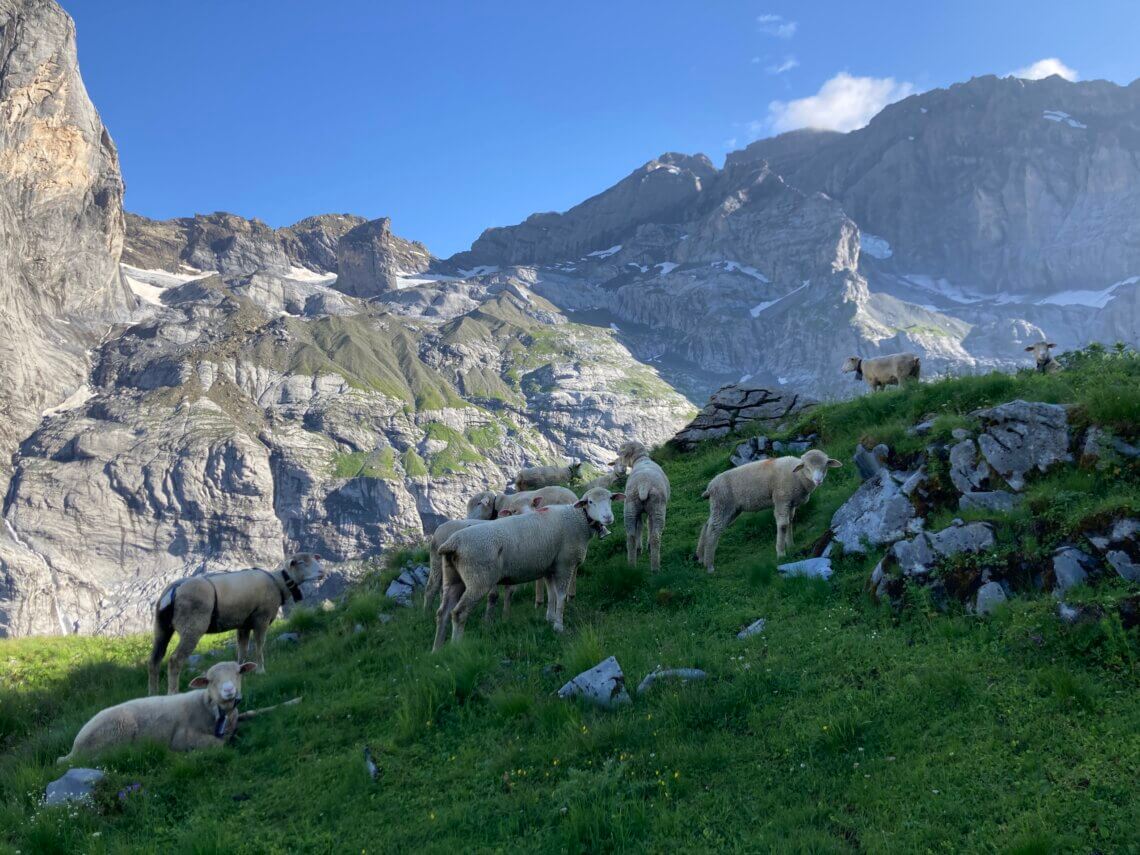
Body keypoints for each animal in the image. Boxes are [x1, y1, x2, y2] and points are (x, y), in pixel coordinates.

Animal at [58, 661, 258, 761]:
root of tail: (73, 750)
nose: (229, 690)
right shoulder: (183, 737)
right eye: (210, 681)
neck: (208, 706)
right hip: (117, 732)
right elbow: (219, 744)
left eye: (239, 672)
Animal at [149, 556, 323, 697]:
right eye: (302, 562)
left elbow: (242, 650)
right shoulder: (261, 618)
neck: (278, 582)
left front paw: (241, 672)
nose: (322, 572)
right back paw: (172, 693)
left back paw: (153, 694)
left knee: (155, 660)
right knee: (175, 660)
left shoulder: (243, 624)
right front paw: (260, 670)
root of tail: (174, 590)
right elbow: (259, 645)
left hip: (162, 628)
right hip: (192, 627)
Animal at [430, 487, 624, 647]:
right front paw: (558, 626)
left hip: (454, 578)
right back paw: (456, 647)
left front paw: (549, 618)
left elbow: (552, 594)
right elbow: (560, 596)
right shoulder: (564, 564)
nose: (608, 518)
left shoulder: (549, 566)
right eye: (590, 502)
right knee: (458, 613)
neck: (578, 518)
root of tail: (453, 543)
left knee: (442, 613)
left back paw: (437, 649)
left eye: (610, 499)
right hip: (478, 580)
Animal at [611, 442, 670, 576]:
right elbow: (647, 525)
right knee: (655, 536)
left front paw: (641, 547)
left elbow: (641, 526)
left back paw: (631, 566)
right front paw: (645, 546)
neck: (641, 459)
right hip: (658, 507)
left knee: (631, 537)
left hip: (630, 507)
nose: (621, 468)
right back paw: (655, 567)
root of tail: (644, 484)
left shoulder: (641, 512)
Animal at [688, 449, 843, 576]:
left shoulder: (791, 503)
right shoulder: (781, 499)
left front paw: (791, 545)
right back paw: (709, 566)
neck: (798, 476)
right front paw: (781, 553)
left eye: (824, 466)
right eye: (807, 467)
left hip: (728, 509)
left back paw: (700, 557)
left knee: (707, 525)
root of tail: (710, 487)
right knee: (714, 530)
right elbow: (783, 525)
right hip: (723, 504)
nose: (818, 480)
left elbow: (791, 521)